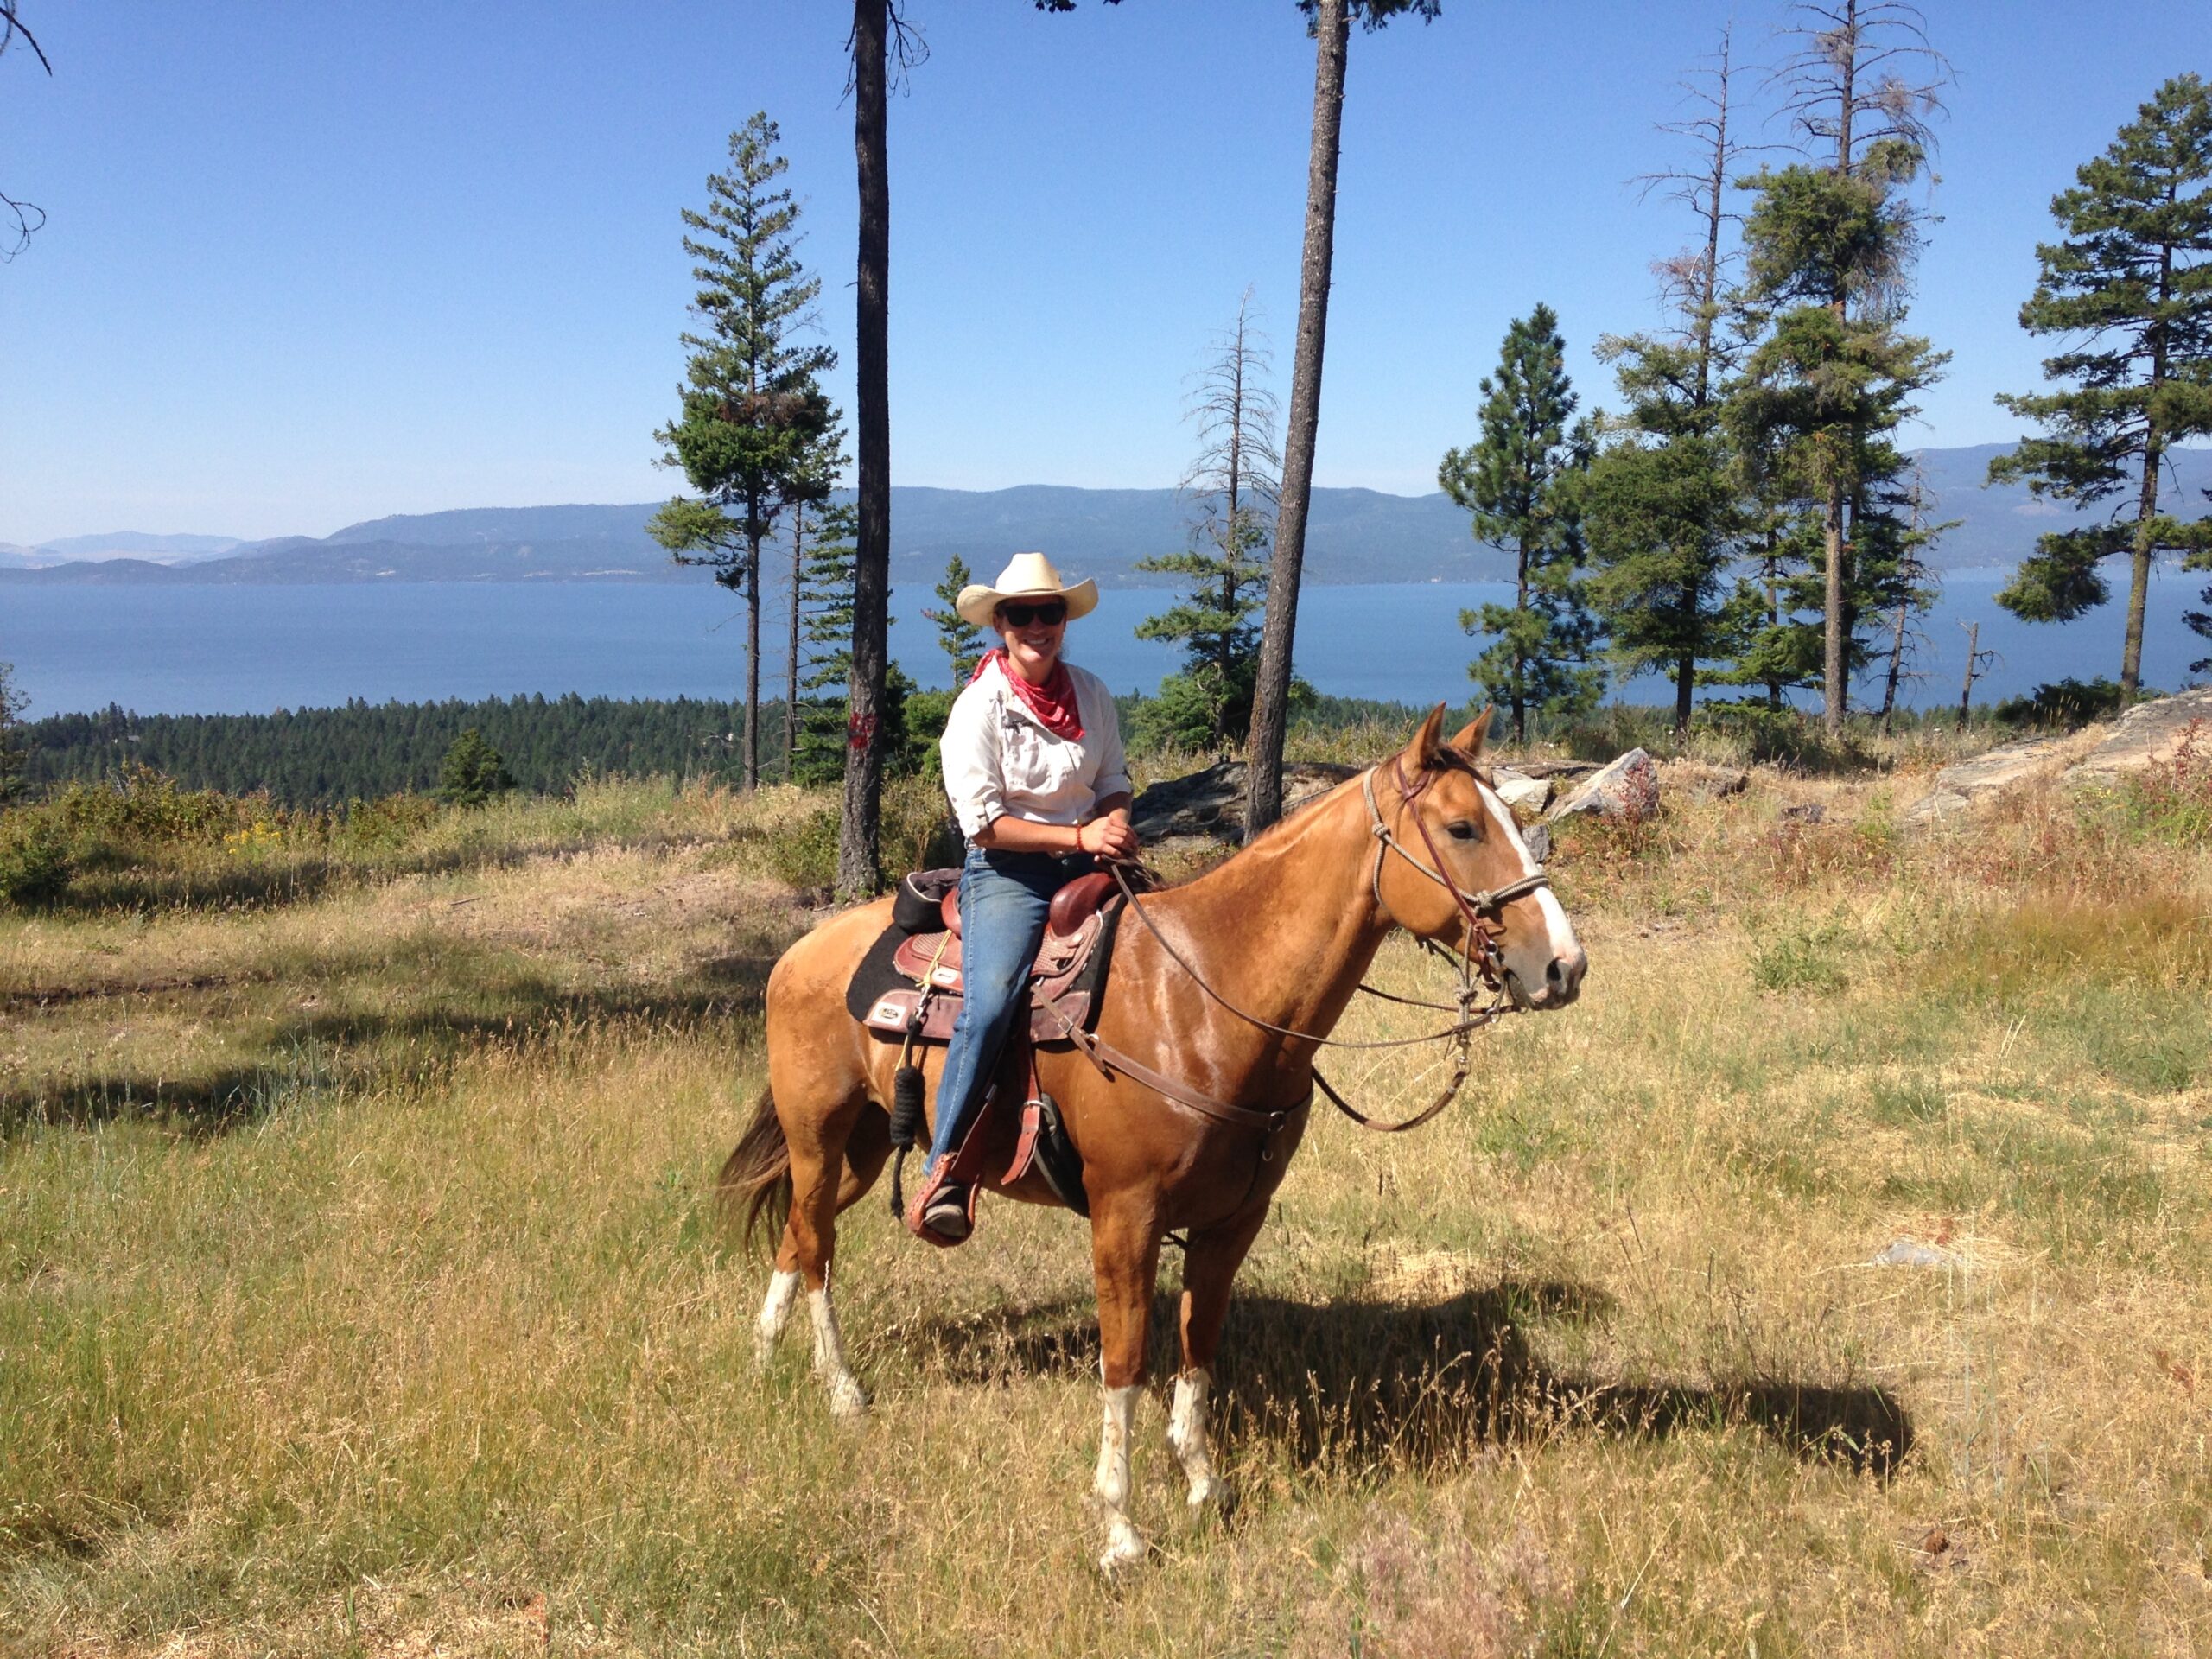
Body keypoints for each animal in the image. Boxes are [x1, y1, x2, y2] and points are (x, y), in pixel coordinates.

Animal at [729, 708, 1592, 1574]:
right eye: (1461, 827)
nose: (1564, 967)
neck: (1207, 997)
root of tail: (802, 951)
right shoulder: (1125, 1216)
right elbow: (1125, 1363)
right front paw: (1120, 1529)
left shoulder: (1234, 1220)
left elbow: (1198, 1345)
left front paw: (1206, 1487)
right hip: (820, 1135)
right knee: (815, 1241)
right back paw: (842, 1390)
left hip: (864, 1146)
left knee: (803, 1234)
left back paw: (769, 1357)